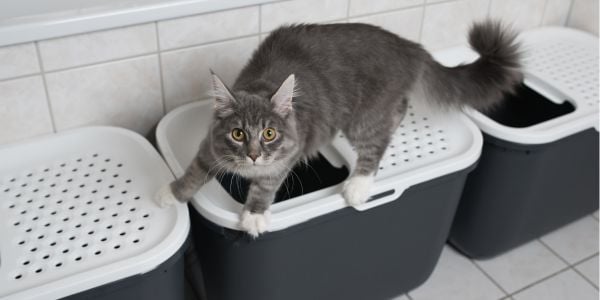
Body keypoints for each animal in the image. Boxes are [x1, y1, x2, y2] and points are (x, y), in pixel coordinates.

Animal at [157, 21, 524, 237]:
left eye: (269, 134)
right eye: (238, 134)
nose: (254, 155)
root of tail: (409, 47)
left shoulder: (284, 158)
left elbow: (265, 186)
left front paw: (254, 216)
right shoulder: (209, 148)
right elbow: (194, 172)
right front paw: (170, 194)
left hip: (362, 119)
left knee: (378, 143)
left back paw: (358, 186)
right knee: (398, 111)